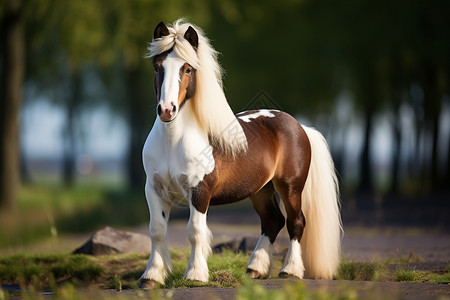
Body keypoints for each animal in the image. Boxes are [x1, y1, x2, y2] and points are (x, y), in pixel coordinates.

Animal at [139, 18, 342, 288]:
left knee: (295, 222)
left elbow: (195, 232)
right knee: (272, 221)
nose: (166, 110)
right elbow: (157, 231)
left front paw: (195, 275)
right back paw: (255, 269)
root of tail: (300, 126)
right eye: (157, 66)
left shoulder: (200, 191)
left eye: (187, 69)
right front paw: (152, 277)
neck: (174, 141)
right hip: (261, 190)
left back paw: (290, 270)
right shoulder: (154, 190)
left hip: (290, 187)